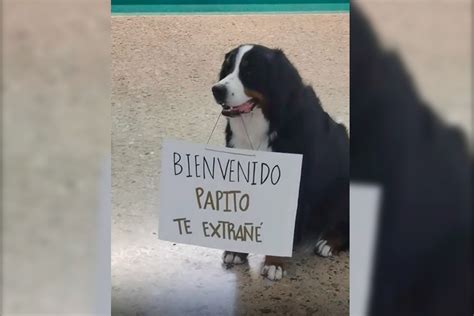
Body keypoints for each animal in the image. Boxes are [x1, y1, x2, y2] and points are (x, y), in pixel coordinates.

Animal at [211, 43, 348, 278]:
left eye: (250, 71)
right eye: (227, 68)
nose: (217, 89)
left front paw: (274, 262)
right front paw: (237, 251)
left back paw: (329, 242)